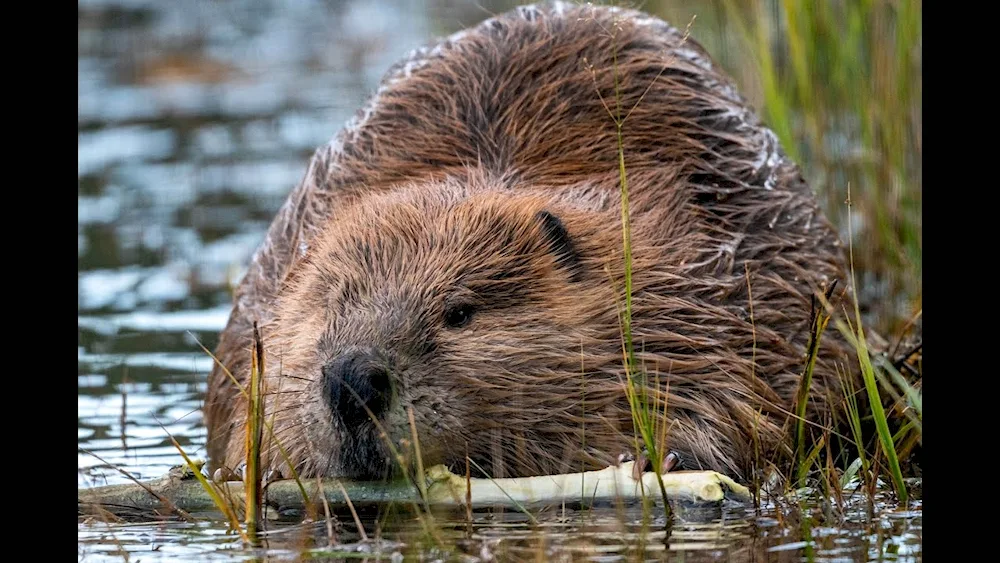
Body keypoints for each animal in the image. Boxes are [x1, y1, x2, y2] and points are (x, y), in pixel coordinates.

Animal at [203, 1, 860, 484]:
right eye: (330, 305)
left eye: (460, 313)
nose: (353, 381)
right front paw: (267, 470)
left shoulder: (712, 267)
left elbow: (742, 392)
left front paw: (663, 456)